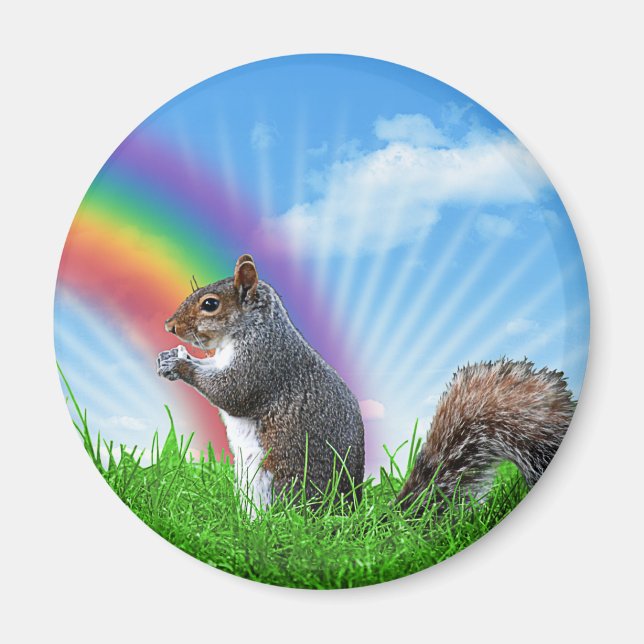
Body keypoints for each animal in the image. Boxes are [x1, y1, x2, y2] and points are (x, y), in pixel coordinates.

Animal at [157, 254, 575, 516]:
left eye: (210, 304)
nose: (169, 326)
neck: (251, 329)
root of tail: (344, 520)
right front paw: (168, 357)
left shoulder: (266, 363)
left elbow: (232, 392)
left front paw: (180, 363)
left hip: (280, 483)